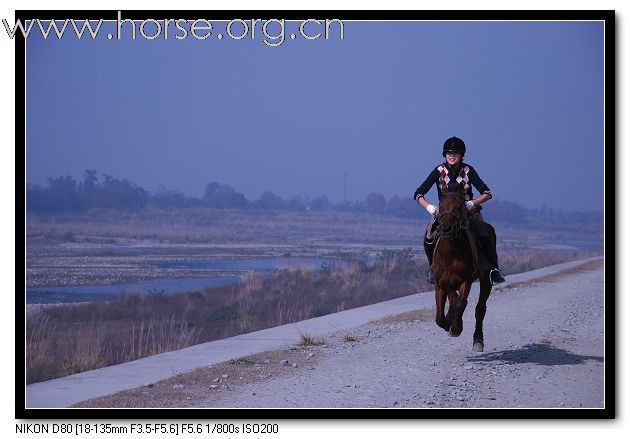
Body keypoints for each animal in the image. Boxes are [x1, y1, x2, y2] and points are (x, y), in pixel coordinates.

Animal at [436, 187, 496, 352]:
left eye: (459, 207)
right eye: (441, 206)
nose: (446, 228)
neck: (450, 253)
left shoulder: (466, 280)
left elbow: (461, 303)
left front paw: (456, 328)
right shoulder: (441, 283)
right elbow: (439, 317)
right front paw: (449, 322)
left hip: (485, 279)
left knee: (480, 309)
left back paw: (478, 340)